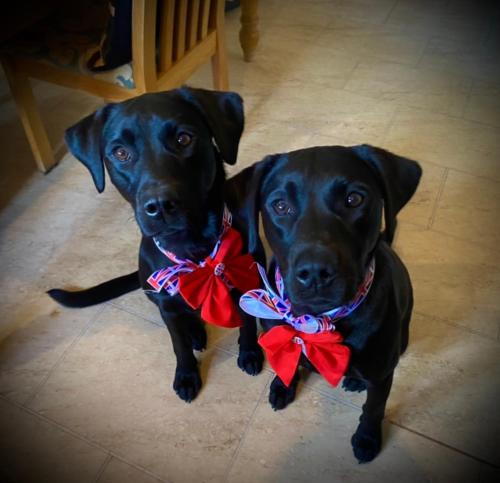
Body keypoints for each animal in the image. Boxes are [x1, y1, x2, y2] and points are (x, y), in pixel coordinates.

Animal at [48, 88, 264, 404]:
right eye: (120, 152)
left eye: (183, 138)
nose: (160, 205)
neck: (192, 247)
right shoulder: (167, 306)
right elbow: (178, 344)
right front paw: (187, 375)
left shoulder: (246, 281)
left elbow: (247, 323)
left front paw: (250, 352)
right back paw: (196, 333)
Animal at [232, 145, 420, 466]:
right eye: (280, 206)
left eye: (354, 199)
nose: (315, 272)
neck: (316, 321)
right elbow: (288, 362)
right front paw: (283, 385)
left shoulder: (382, 373)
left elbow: (374, 408)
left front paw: (367, 438)